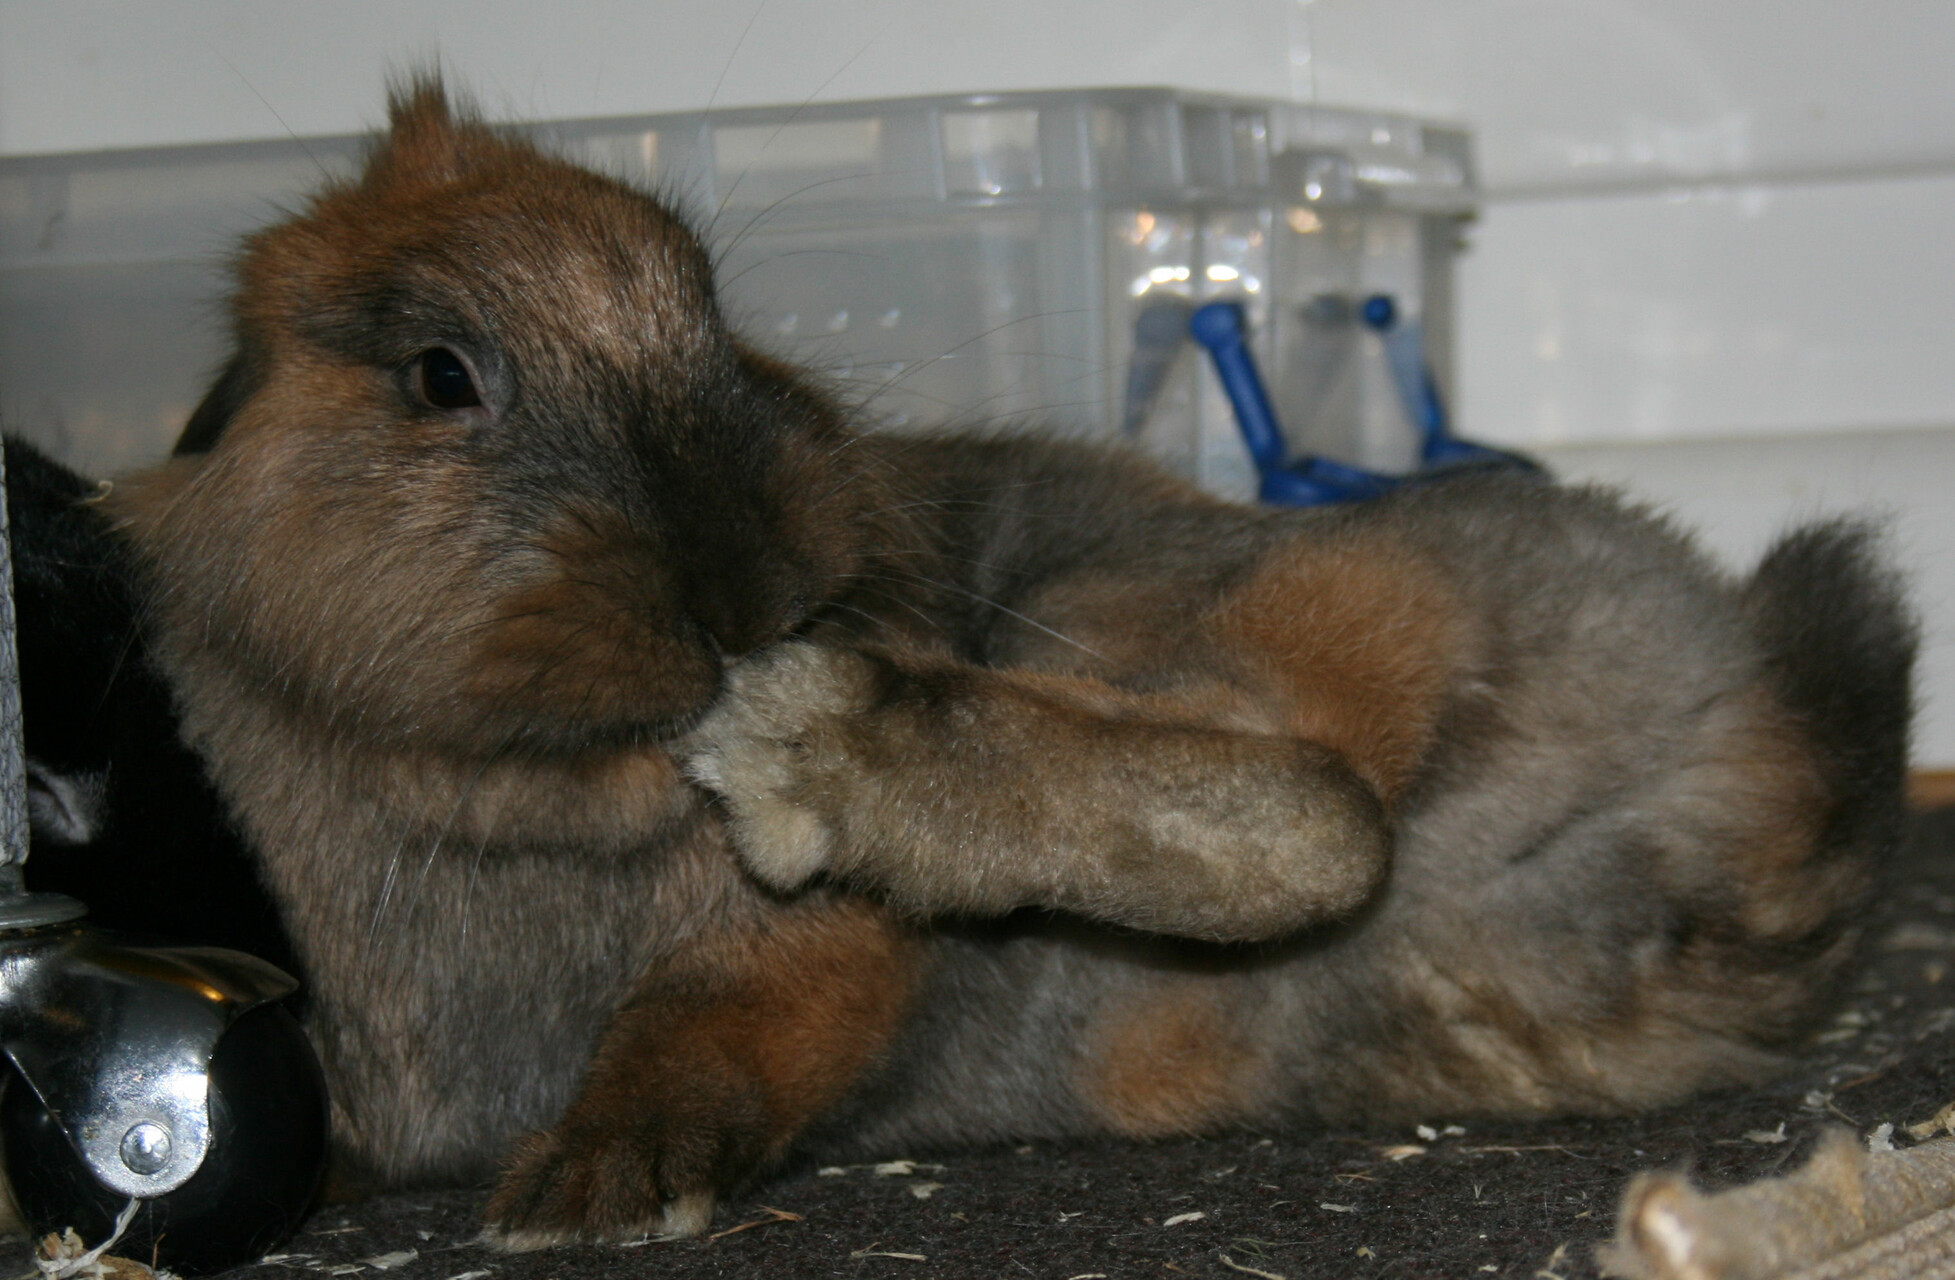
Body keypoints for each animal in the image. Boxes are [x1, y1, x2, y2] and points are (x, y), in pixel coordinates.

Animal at [99, 80, 1915, 1250]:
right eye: (438, 374)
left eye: (709, 300)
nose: (747, 599)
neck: (522, 800)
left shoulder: (808, 951)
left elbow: (727, 1024)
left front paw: (595, 1187)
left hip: (1288, 588)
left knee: (1316, 800)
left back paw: (824, 748)